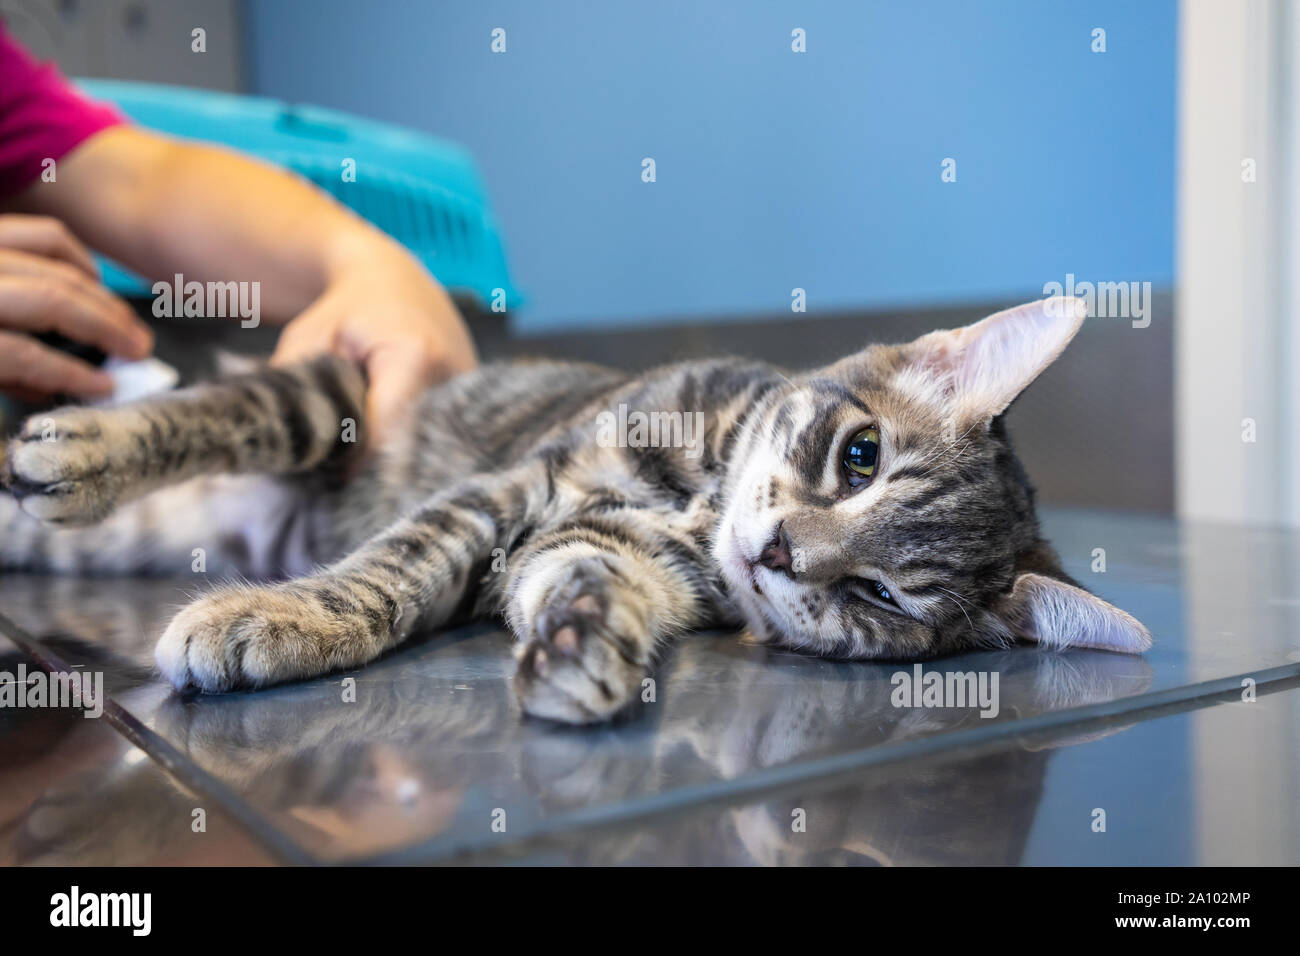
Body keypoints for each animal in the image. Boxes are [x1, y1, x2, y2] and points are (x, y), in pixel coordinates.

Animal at [5, 295, 1154, 723]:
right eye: (859, 455)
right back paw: (75, 448)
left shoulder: (591, 542)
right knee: (225, 409)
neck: (698, 504)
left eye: (881, 597)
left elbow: (588, 577)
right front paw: (281, 616)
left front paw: (584, 645)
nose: (780, 553)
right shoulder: (511, 488)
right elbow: (392, 569)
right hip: (330, 395)